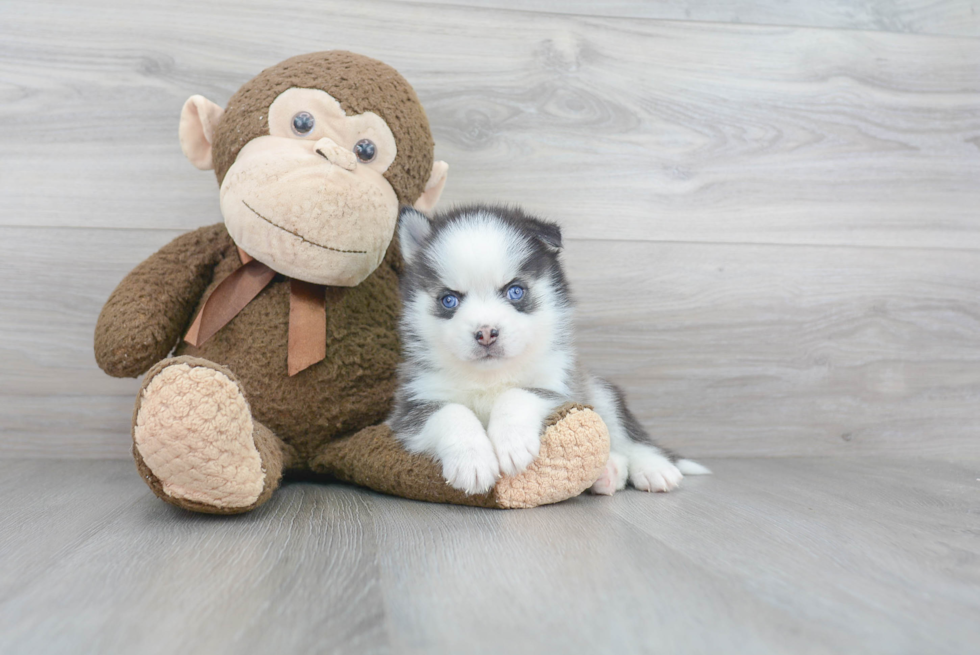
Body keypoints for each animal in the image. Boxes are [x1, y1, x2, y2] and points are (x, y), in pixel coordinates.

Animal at [386, 205, 708, 498]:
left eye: (515, 291)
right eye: (449, 300)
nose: (486, 333)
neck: (490, 378)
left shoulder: (557, 386)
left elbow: (516, 394)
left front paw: (512, 443)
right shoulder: (412, 406)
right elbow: (452, 412)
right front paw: (472, 461)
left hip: (600, 392)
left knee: (629, 437)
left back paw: (653, 468)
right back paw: (608, 473)